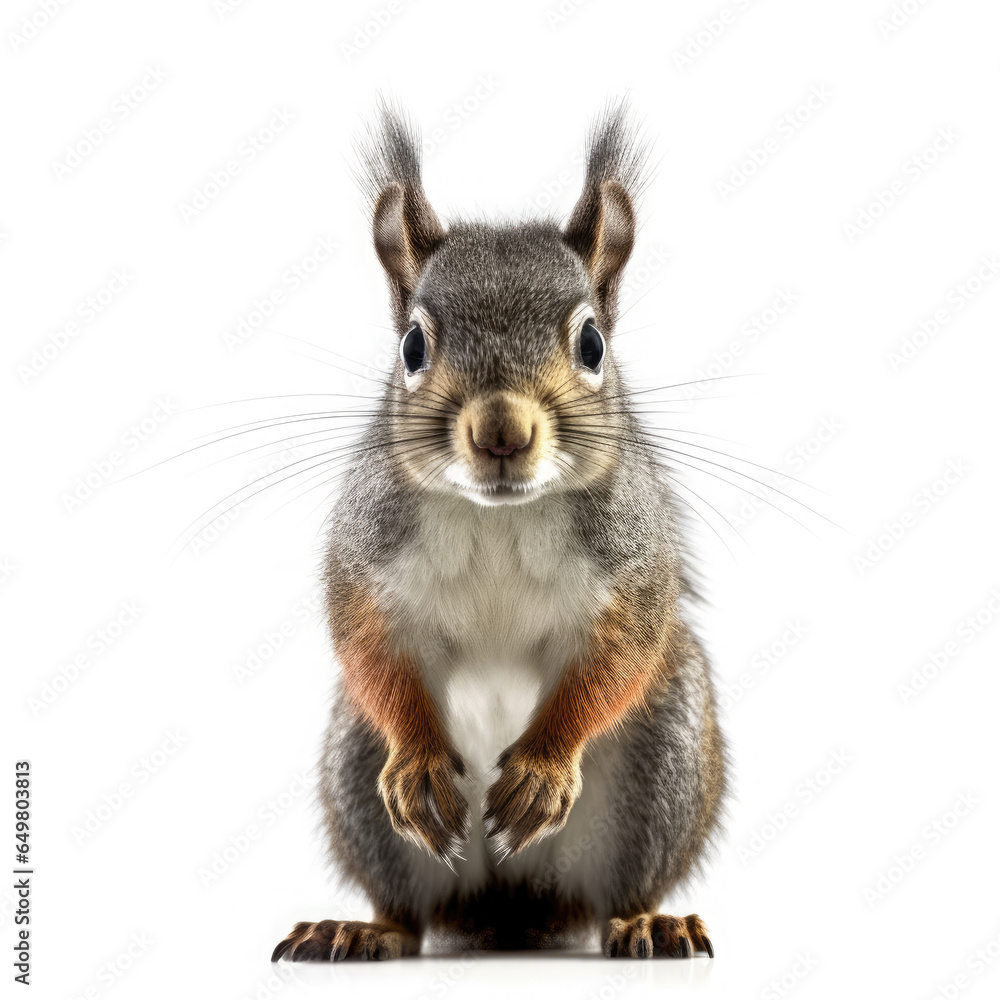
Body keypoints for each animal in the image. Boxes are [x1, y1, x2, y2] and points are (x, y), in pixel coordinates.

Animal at [272, 102, 728, 962]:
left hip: (666, 768)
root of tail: (511, 909)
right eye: (413, 344)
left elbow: (619, 657)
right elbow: (369, 643)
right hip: (355, 768)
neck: (499, 514)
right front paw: (417, 765)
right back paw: (362, 928)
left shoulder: (633, 564)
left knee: (629, 884)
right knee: (405, 906)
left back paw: (648, 921)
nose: (501, 431)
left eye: (592, 343)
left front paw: (544, 770)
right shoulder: (368, 555)